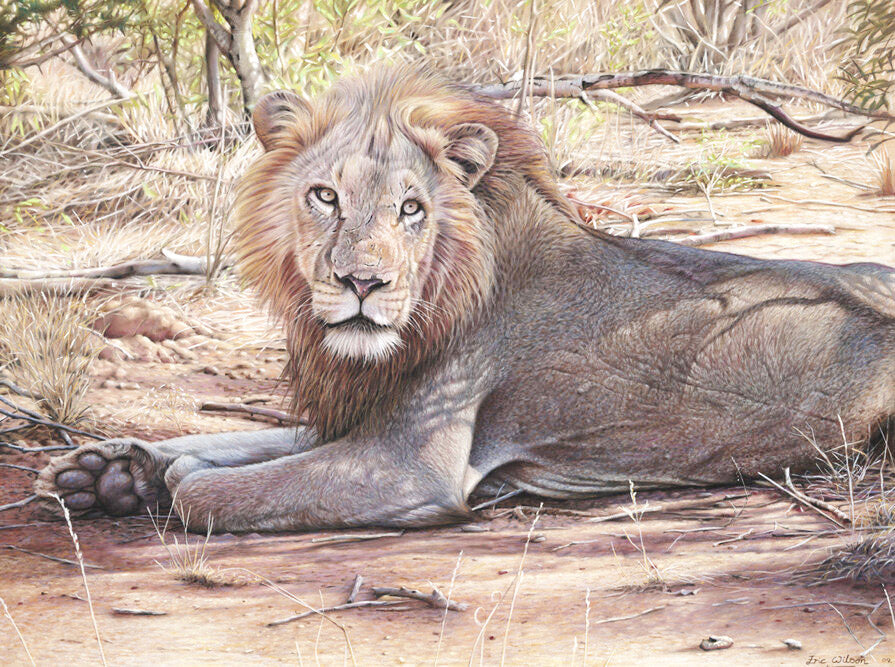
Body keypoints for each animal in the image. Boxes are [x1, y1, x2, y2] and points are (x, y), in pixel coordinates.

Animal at [36, 66, 895, 533]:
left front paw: (151, 482)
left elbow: (204, 488)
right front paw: (110, 471)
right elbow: (224, 443)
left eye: (412, 209)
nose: (361, 283)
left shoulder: (406, 467)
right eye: (324, 196)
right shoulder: (360, 414)